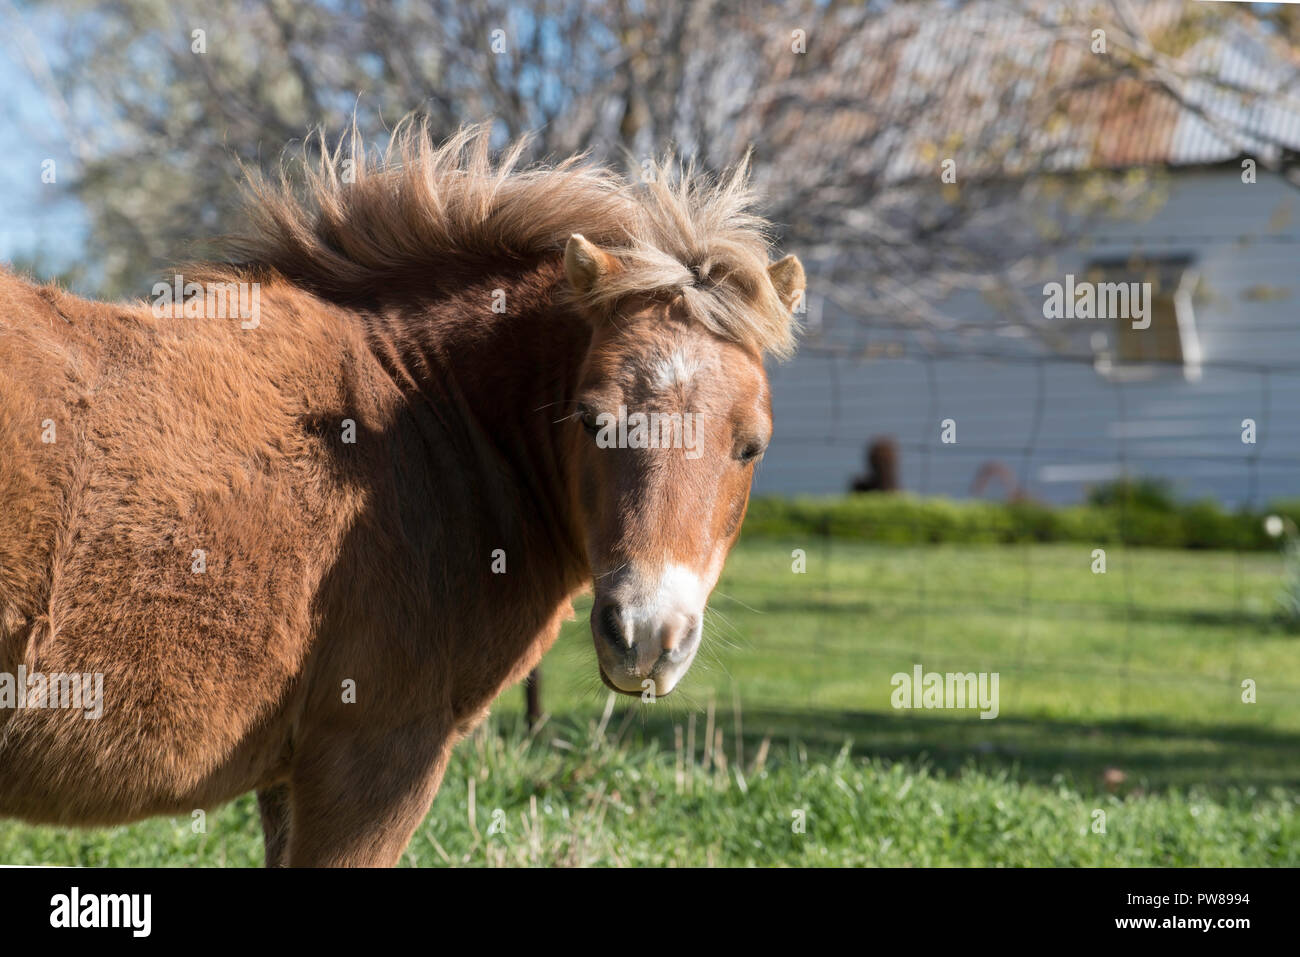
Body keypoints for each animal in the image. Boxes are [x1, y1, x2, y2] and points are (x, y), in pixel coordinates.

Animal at [0, 123, 800, 863]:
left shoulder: (290, 773)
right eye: (591, 419)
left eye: (751, 445)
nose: (646, 637)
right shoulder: (378, 758)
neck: (425, 415)